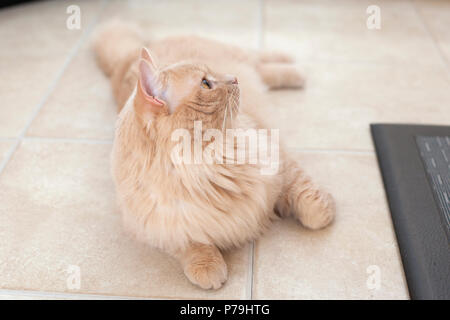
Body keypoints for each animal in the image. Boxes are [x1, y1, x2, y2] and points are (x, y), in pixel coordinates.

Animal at [93, 20, 336, 290]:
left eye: (211, 78)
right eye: (205, 84)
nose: (234, 78)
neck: (209, 164)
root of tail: (127, 58)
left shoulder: (278, 161)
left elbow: (311, 207)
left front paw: (324, 212)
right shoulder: (162, 228)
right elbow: (192, 245)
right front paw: (208, 268)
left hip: (238, 54)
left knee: (262, 60)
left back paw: (293, 66)